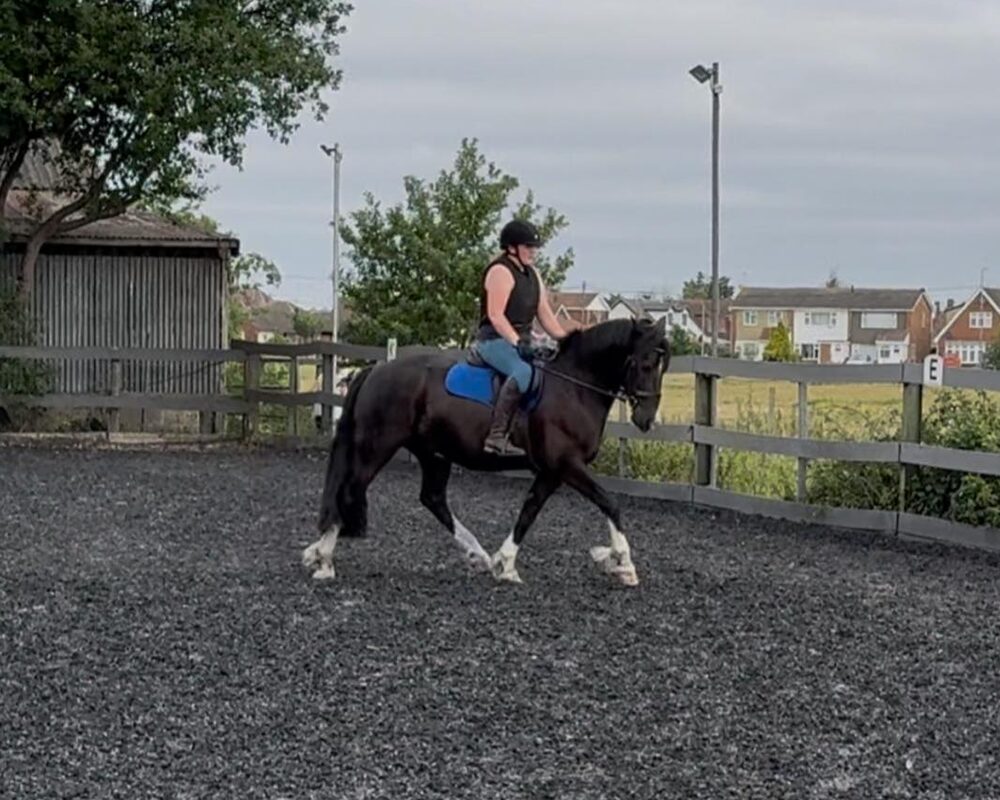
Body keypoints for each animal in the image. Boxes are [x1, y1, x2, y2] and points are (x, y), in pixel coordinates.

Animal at [302, 316, 670, 586]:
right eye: (644, 363)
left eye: (662, 366)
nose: (646, 419)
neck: (573, 386)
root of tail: (375, 370)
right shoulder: (567, 464)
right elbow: (610, 503)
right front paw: (623, 563)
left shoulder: (551, 472)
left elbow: (529, 512)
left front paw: (504, 564)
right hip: (377, 446)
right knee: (351, 489)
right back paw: (324, 559)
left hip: (433, 453)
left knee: (433, 498)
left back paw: (476, 554)